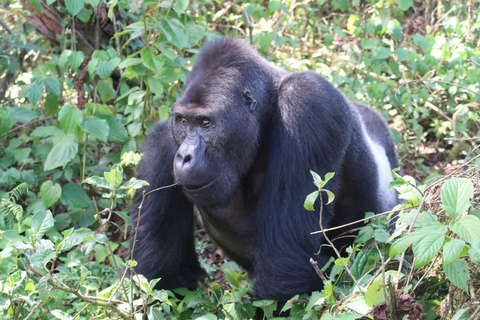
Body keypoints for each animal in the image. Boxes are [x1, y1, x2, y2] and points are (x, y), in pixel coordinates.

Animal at [130, 37, 398, 300]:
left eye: (205, 122)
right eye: (183, 121)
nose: (184, 156)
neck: (268, 110)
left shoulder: (308, 102)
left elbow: (285, 261)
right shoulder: (163, 143)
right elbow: (165, 276)